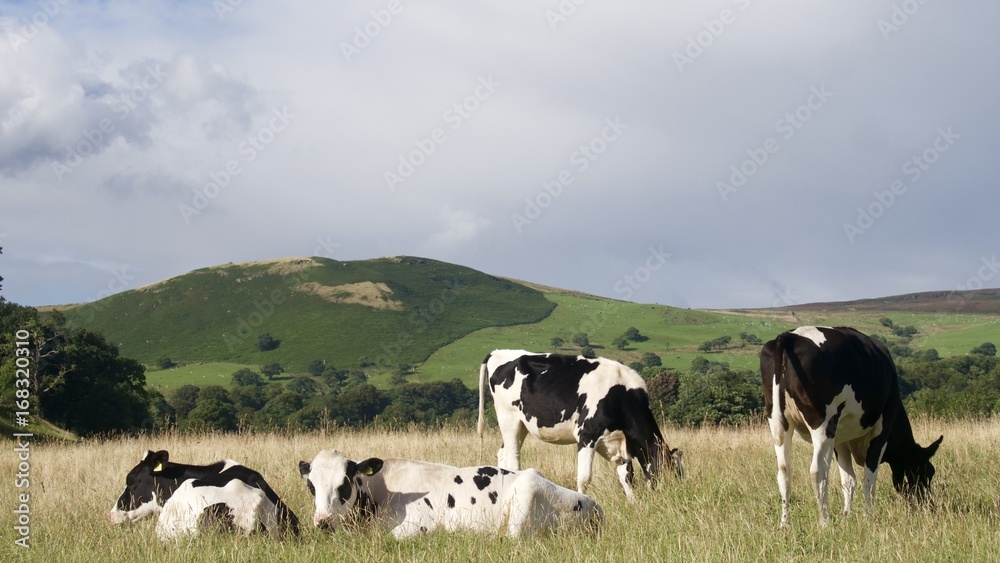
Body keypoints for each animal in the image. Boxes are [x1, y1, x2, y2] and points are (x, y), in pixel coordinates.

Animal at [298, 448, 603, 539]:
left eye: (344, 483)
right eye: (311, 486)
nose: (322, 521)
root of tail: (595, 506)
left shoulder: (420, 524)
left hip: (527, 490)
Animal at [477, 349, 683, 501]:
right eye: (671, 471)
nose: (674, 496)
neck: (622, 395)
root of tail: (498, 352)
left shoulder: (619, 442)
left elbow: (627, 476)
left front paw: (633, 503)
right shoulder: (587, 434)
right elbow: (584, 478)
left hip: (522, 426)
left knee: (502, 454)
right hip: (508, 419)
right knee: (513, 459)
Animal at [760, 326, 943, 527]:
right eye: (927, 472)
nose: (929, 506)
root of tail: (790, 336)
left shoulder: (840, 441)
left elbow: (848, 481)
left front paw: (847, 514)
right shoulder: (882, 430)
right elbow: (869, 480)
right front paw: (867, 517)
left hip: (778, 422)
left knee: (784, 472)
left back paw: (785, 523)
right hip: (822, 423)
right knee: (818, 471)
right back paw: (824, 522)